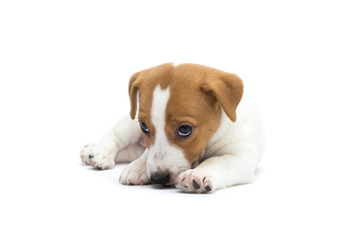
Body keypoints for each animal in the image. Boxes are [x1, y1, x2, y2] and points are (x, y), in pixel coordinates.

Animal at [81, 63, 264, 193]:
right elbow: (148, 154)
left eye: (185, 129)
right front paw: (137, 167)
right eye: (144, 127)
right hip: (129, 122)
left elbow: (217, 161)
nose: (158, 178)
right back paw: (98, 153)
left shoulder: (240, 154)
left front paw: (197, 174)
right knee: (114, 136)